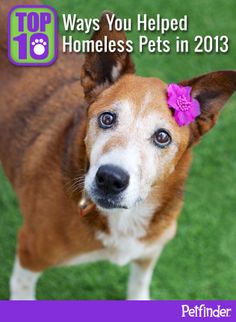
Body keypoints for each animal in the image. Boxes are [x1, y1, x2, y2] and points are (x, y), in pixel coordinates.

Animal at [0, 0, 236, 302]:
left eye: (162, 137)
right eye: (107, 118)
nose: (110, 179)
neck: (125, 218)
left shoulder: (149, 252)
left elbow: (138, 287)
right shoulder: (29, 256)